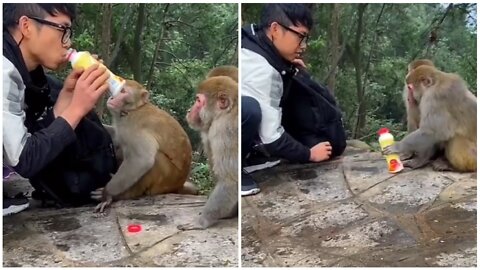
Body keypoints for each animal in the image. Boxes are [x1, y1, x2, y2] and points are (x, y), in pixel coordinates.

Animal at [91, 79, 196, 212]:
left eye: (123, 91)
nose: (111, 98)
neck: (132, 110)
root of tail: (179, 185)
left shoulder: (136, 127)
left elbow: (142, 160)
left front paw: (107, 194)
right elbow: (116, 137)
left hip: (165, 181)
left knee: (155, 159)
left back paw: (126, 194)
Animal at [176, 74, 238, 230]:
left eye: (198, 101)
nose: (188, 110)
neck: (226, 112)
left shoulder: (223, 131)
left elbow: (229, 179)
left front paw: (201, 221)